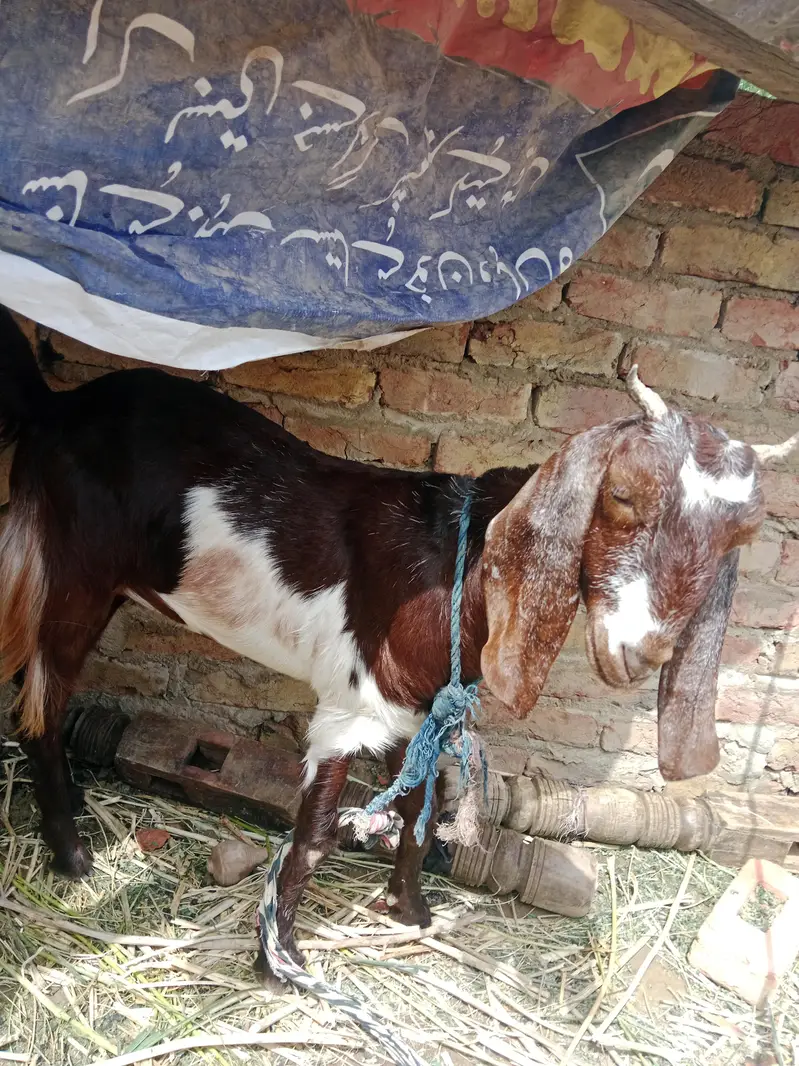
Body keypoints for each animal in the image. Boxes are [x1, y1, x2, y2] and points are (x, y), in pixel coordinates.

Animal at [0, 306, 791, 983]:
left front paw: (410, 911)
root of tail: (56, 408)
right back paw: (72, 855)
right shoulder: (348, 710)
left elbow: (418, 816)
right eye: (623, 495)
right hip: (74, 574)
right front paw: (280, 963)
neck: (455, 570)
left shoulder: (421, 716)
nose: (642, 651)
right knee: (40, 703)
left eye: (741, 534)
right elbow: (316, 834)